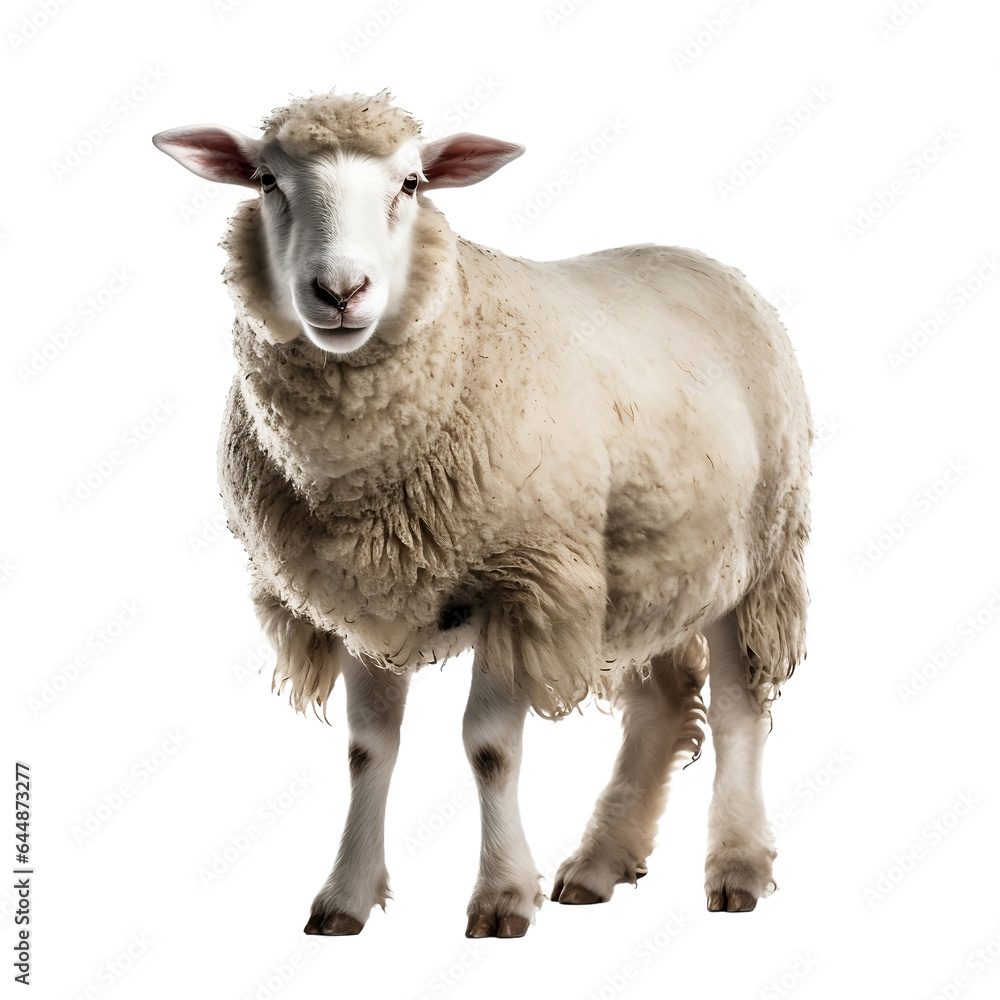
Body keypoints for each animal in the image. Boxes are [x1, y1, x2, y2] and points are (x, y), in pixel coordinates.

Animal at [152, 88, 812, 938]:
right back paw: (598, 864)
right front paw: (346, 896)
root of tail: (703, 260)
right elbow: (369, 749)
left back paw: (736, 867)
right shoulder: (367, 590)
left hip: (757, 552)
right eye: (267, 180)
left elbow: (489, 748)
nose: (341, 291)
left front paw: (501, 897)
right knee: (663, 705)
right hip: (644, 565)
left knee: (737, 709)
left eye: (411, 184)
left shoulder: (521, 581)